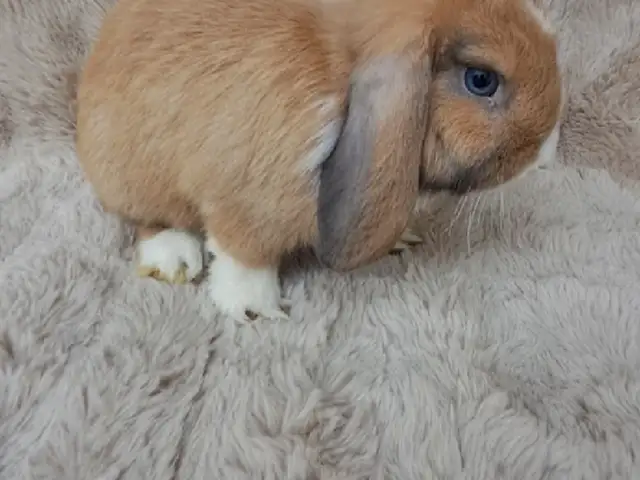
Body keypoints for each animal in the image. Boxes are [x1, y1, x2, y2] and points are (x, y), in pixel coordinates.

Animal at [75, 0, 563, 322]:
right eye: (481, 80)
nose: (549, 152)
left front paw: (402, 235)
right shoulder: (247, 205)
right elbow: (243, 256)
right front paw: (254, 309)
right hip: (134, 174)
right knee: (146, 216)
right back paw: (174, 257)